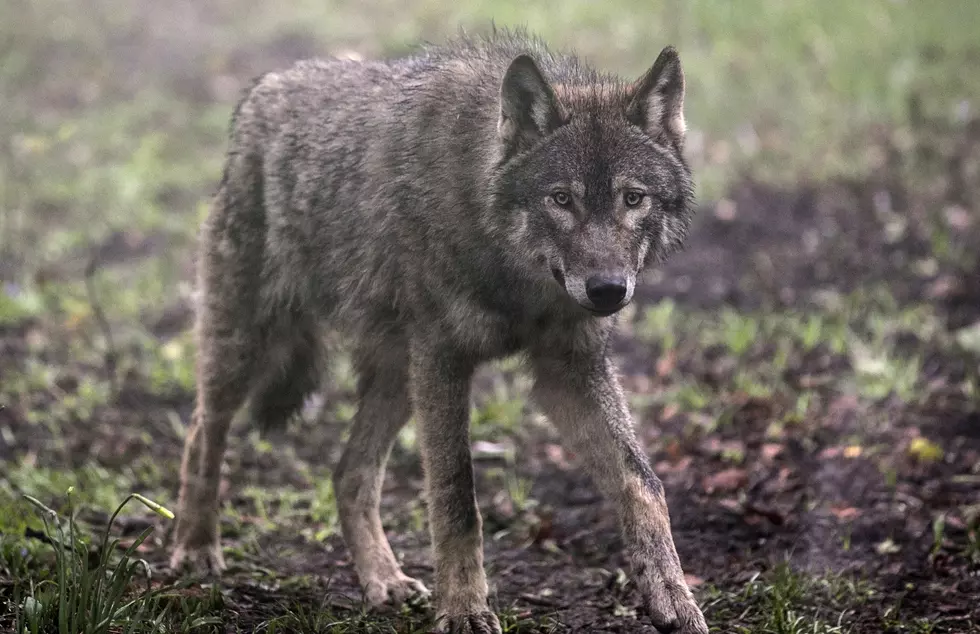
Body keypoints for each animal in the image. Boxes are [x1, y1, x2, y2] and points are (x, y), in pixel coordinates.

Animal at [169, 28, 707, 634]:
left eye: (633, 199)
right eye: (561, 199)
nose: (608, 291)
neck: (514, 277)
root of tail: (265, 87)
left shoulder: (568, 370)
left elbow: (643, 484)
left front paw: (673, 597)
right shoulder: (445, 361)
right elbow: (456, 500)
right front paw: (466, 610)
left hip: (399, 376)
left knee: (348, 473)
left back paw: (384, 580)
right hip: (251, 347)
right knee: (202, 431)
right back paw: (195, 550)